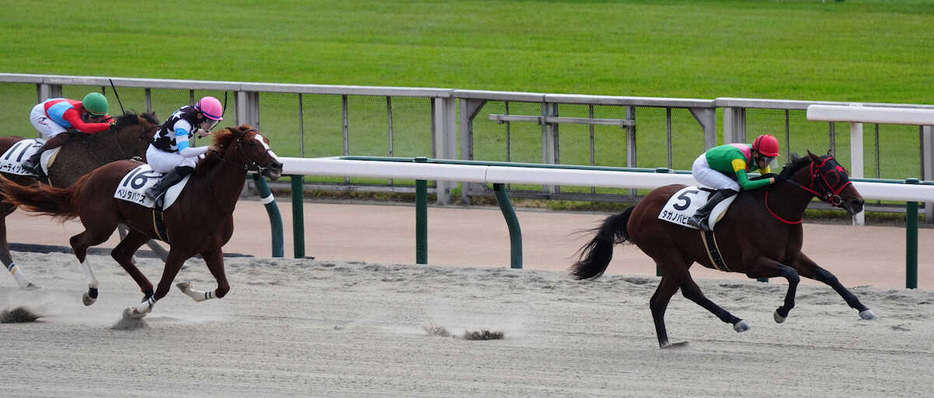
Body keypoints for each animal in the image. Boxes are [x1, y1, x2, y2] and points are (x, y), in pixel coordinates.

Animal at [572, 152, 876, 348]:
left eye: (845, 171)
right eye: (832, 174)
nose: (858, 202)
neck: (776, 209)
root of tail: (637, 207)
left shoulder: (792, 255)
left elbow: (827, 275)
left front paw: (863, 309)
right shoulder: (753, 264)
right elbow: (793, 276)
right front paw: (781, 312)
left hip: (680, 256)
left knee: (659, 301)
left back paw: (667, 343)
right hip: (666, 252)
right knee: (691, 291)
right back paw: (736, 320)